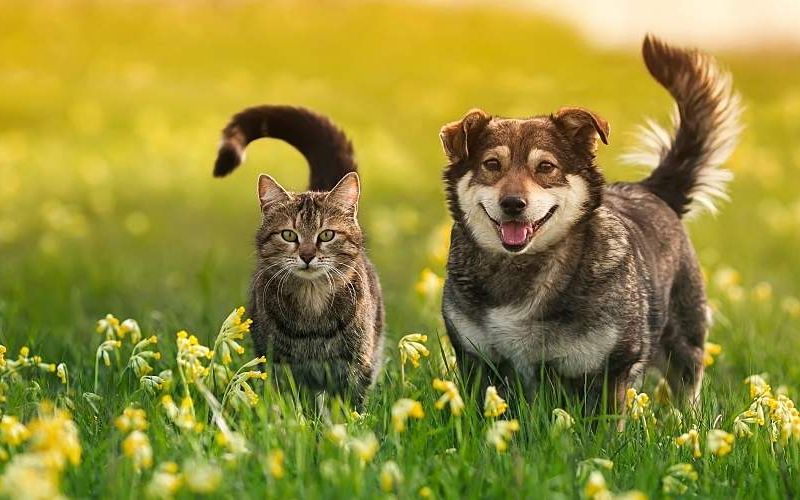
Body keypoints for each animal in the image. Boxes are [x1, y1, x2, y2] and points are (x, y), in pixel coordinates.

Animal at [212, 105, 384, 406]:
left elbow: (351, 407)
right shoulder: (278, 364)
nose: (307, 255)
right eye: (289, 235)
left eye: (326, 235)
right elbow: (287, 404)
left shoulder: (356, 364)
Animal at [438, 34, 744, 410]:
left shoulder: (609, 368)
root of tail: (650, 189)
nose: (513, 204)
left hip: (684, 342)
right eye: (492, 164)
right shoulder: (477, 360)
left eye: (546, 167)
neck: (522, 268)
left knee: (687, 390)